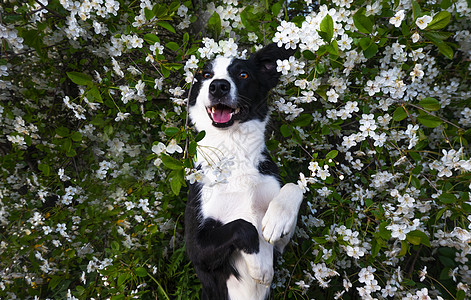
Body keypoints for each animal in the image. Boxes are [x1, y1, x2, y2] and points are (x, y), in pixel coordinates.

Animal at [186, 44, 304, 300]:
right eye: (206, 74)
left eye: (243, 74)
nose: (218, 86)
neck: (234, 149)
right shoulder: (196, 250)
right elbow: (244, 226)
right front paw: (260, 266)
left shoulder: (282, 244)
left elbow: (294, 187)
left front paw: (276, 219)